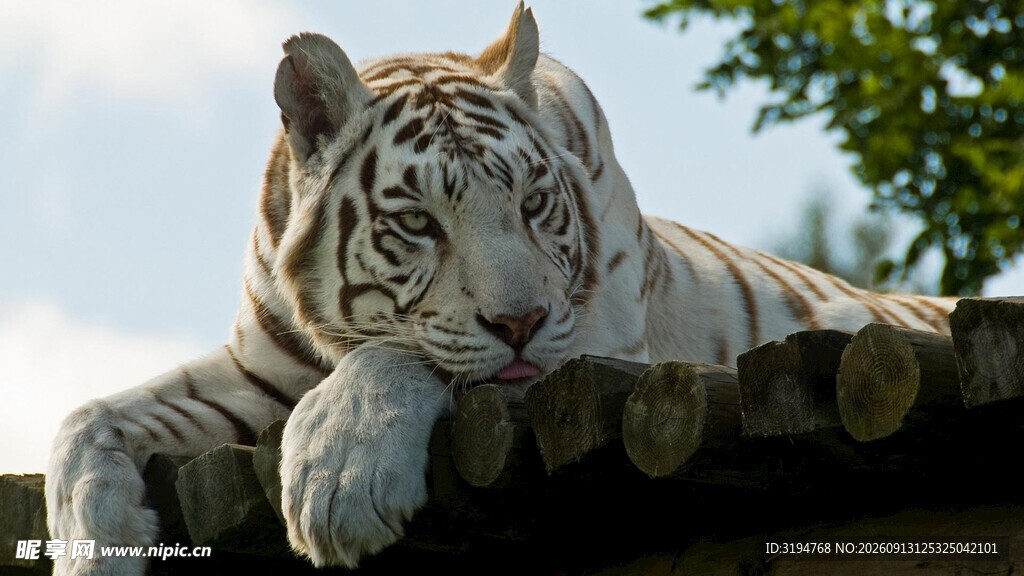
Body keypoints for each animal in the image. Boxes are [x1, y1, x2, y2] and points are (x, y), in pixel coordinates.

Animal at [45, 4, 957, 574]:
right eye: (418, 223)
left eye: (532, 202)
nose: (520, 320)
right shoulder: (257, 369)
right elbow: (86, 418)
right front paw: (94, 544)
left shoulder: (590, 351)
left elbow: (408, 358)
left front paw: (337, 479)